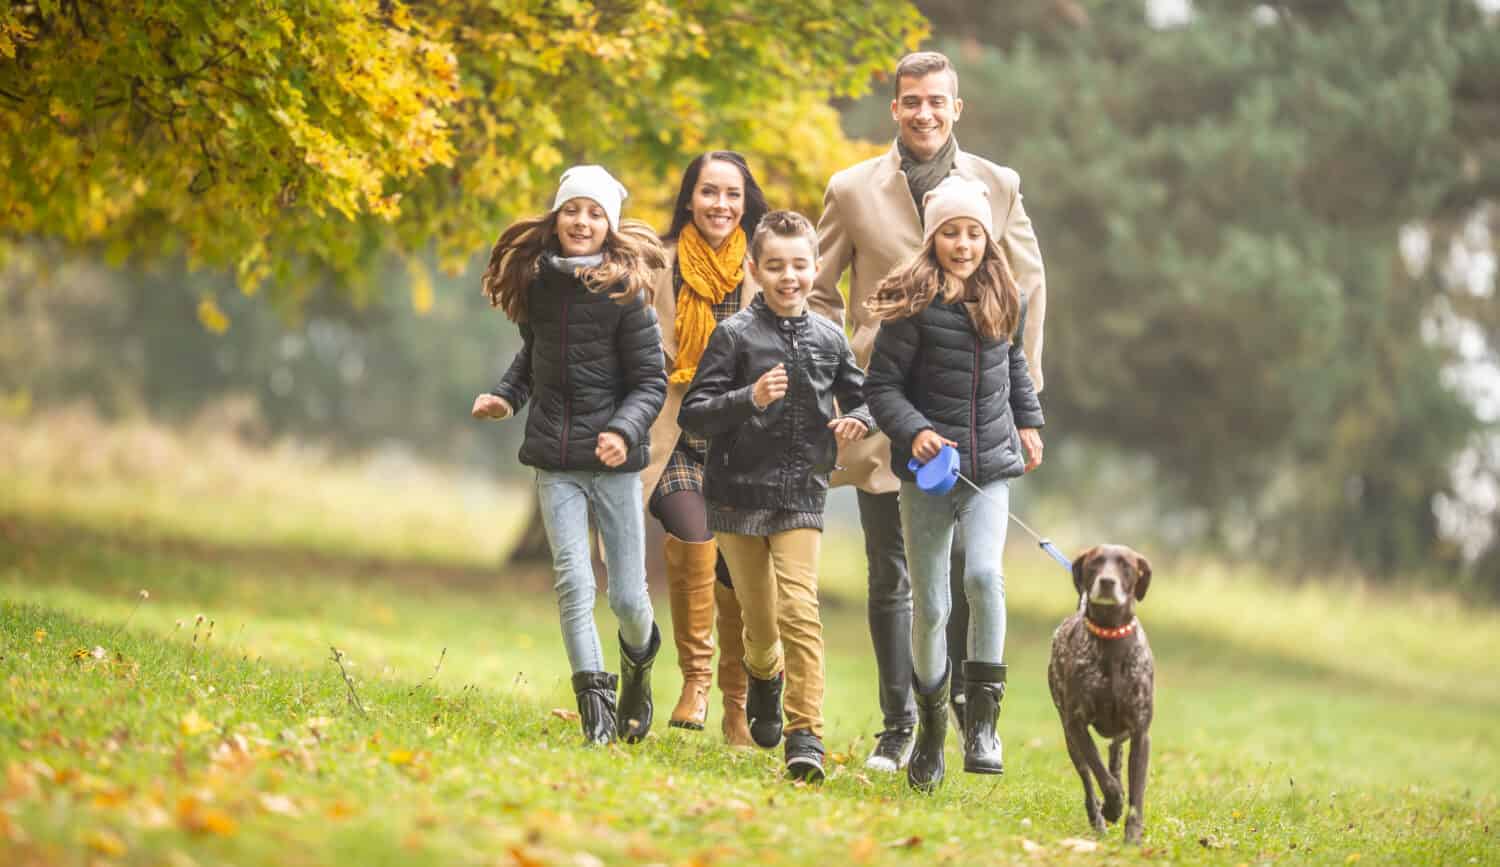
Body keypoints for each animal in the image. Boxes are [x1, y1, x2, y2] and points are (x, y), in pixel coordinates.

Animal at [1050, 543, 1152, 840]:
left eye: (1126, 565)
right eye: (1095, 563)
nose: (1107, 582)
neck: (1110, 637)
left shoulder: (1141, 732)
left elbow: (1137, 795)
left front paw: (1133, 838)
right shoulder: (1076, 724)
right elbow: (1100, 774)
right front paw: (1112, 806)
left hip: (1123, 733)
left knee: (1115, 754)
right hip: (1071, 740)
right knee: (1089, 779)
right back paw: (1098, 817)